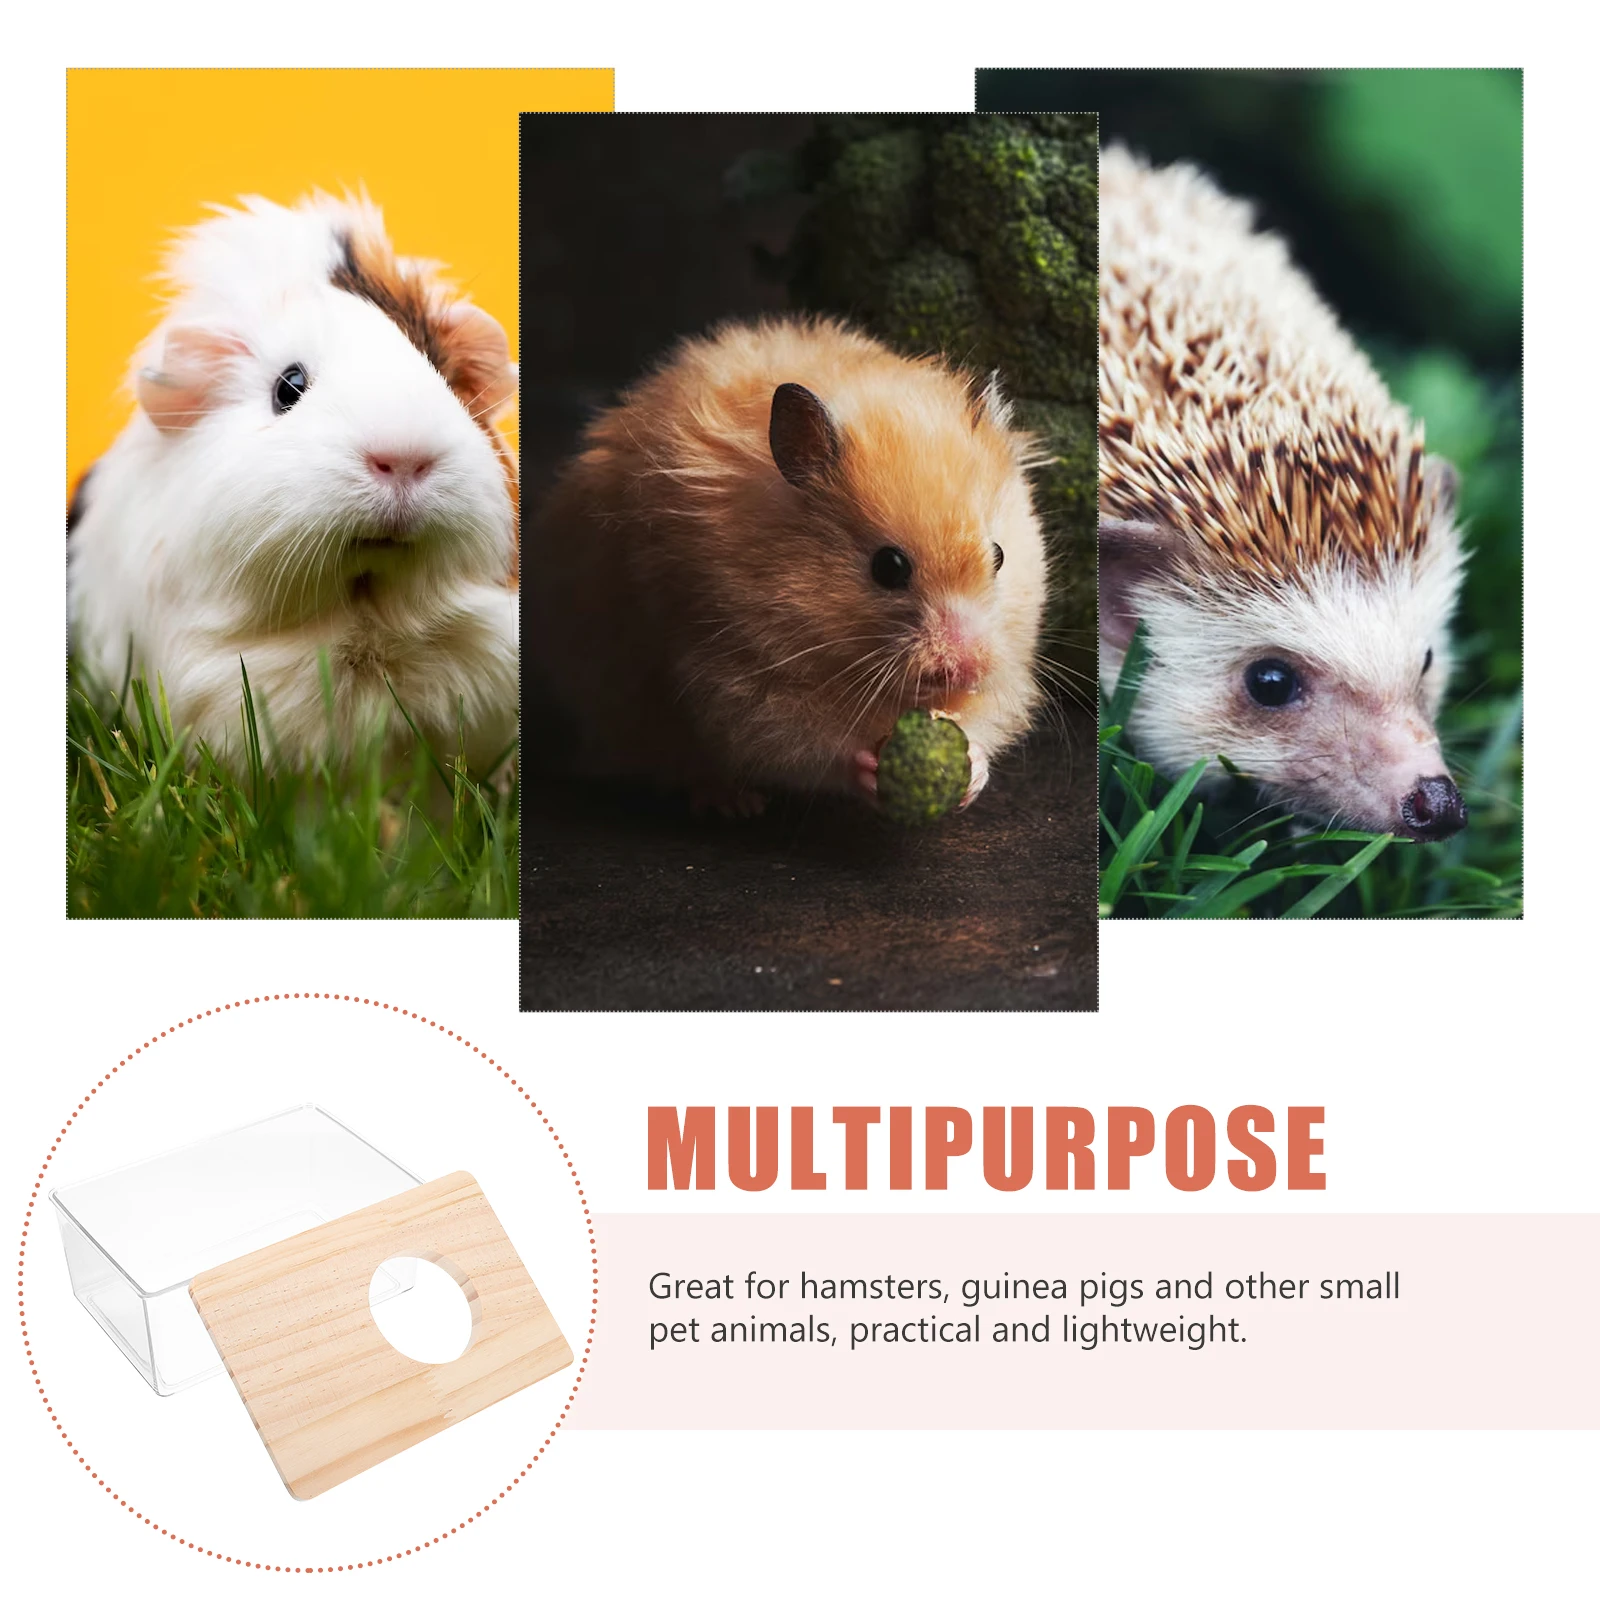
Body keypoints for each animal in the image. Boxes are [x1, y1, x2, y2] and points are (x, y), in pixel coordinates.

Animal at [524, 317, 1049, 813]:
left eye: (999, 556)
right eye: (889, 567)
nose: (967, 667)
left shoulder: (1008, 667)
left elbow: (983, 717)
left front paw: (971, 771)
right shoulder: (730, 672)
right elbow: (802, 740)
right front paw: (866, 768)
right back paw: (733, 803)